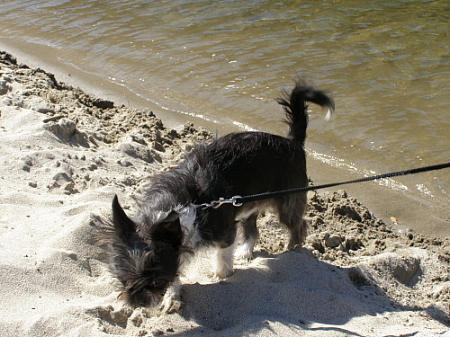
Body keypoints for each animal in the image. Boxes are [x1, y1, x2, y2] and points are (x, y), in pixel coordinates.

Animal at [96, 81, 334, 312]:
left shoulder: (224, 229)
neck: (190, 203)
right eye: (122, 279)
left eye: (156, 279)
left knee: (298, 225)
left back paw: (291, 248)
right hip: (249, 202)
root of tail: (292, 142)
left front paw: (222, 274)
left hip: (288, 202)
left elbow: (223, 252)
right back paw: (246, 251)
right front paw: (173, 295)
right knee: (252, 227)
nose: (137, 303)